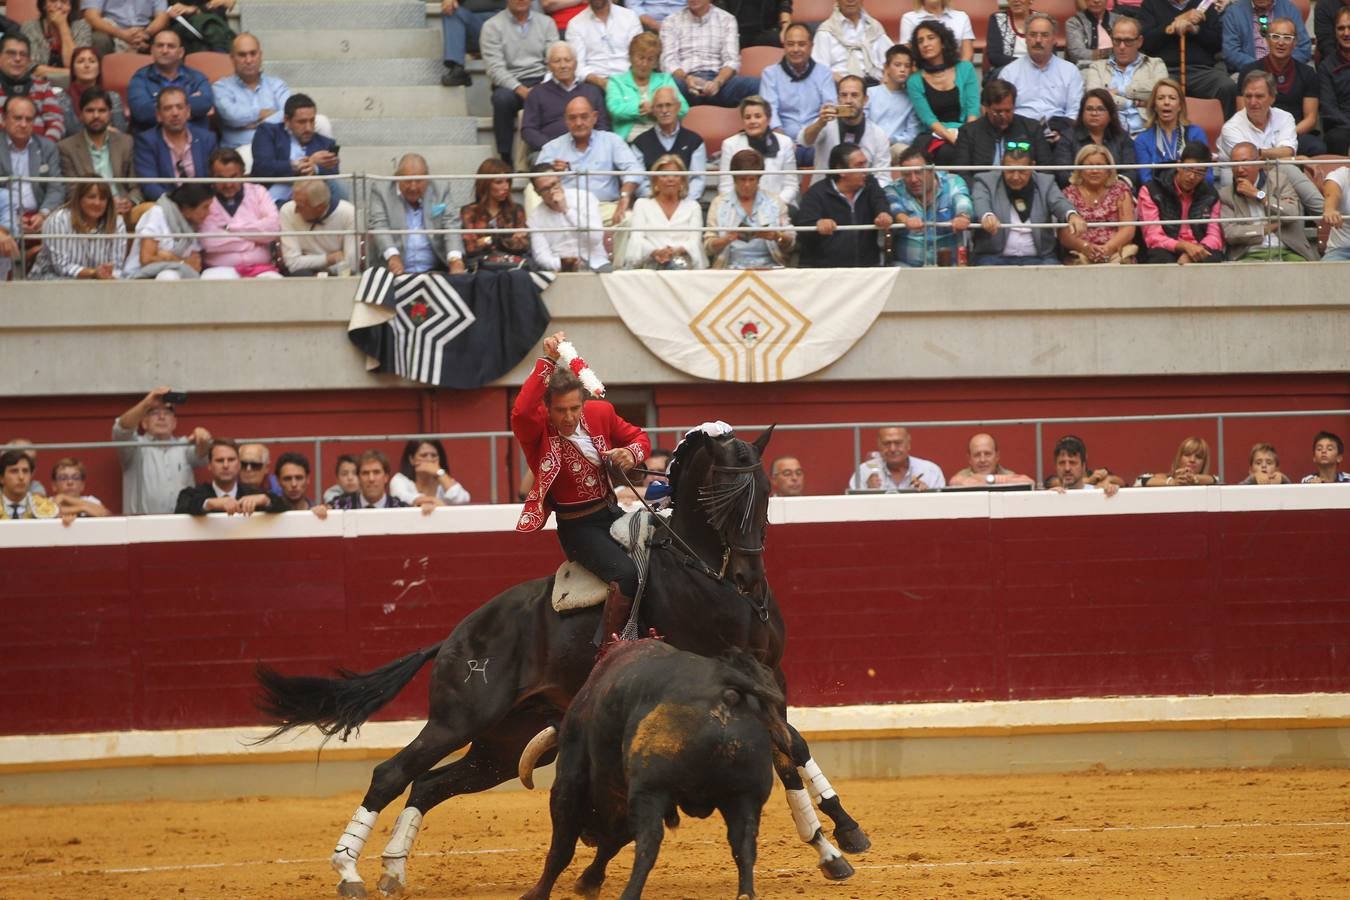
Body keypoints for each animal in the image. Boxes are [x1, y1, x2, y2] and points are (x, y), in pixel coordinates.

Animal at [515, 639, 788, 900]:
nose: (589, 836)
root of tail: (725, 692)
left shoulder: (572, 775)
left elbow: (563, 844)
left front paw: (537, 894)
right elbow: (612, 842)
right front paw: (588, 883)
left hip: (651, 790)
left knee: (649, 841)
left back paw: (629, 894)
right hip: (745, 795)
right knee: (744, 842)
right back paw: (746, 893)